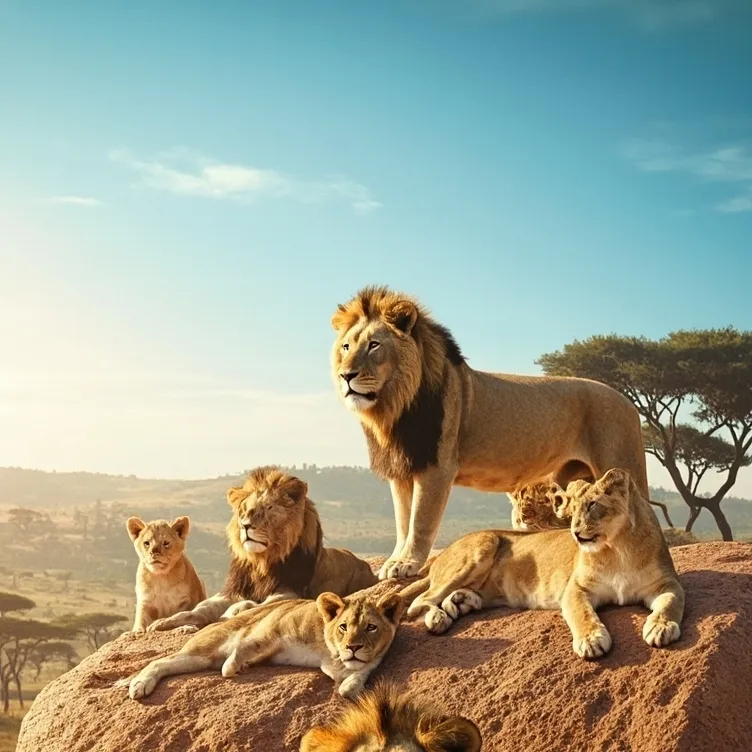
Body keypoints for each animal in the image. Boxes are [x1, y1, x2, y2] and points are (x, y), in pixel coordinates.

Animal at [119, 590, 404, 701]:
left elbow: (357, 678)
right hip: (201, 649)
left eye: (371, 627)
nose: (353, 647)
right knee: (158, 661)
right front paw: (232, 667)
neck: (331, 652)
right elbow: (248, 644)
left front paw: (350, 685)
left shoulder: (362, 663)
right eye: (344, 626)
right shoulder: (274, 626)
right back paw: (139, 685)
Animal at [147, 466, 377, 634]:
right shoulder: (233, 591)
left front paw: (234, 611)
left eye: (268, 508)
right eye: (244, 510)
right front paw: (162, 622)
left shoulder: (289, 591)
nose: (245, 525)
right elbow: (198, 609)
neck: (261, 562)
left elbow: (258, 606)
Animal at [331, 285, 672, 580]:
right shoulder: (403, 469)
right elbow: (403, 522)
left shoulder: (436, 467)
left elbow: (421, 522)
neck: (393, 410)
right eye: (346, 347)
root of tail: (628, 401)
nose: (346, 375)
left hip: (621, 462)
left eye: (374, 345)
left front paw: (408, 563)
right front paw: (395, 560)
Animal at [401, 468, 684, 659]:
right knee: (420, 601)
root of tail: (440, 555)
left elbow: (671, 603)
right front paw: (591, 640)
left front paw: (661, 627)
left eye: (592, 505)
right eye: (573, 511)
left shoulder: (666, 583)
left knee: (457, 597)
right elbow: (582, 613)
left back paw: (458, 603)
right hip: (484, 543)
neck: (617, 549)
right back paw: (438, 617)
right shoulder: (575, 589)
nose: (575, 532)